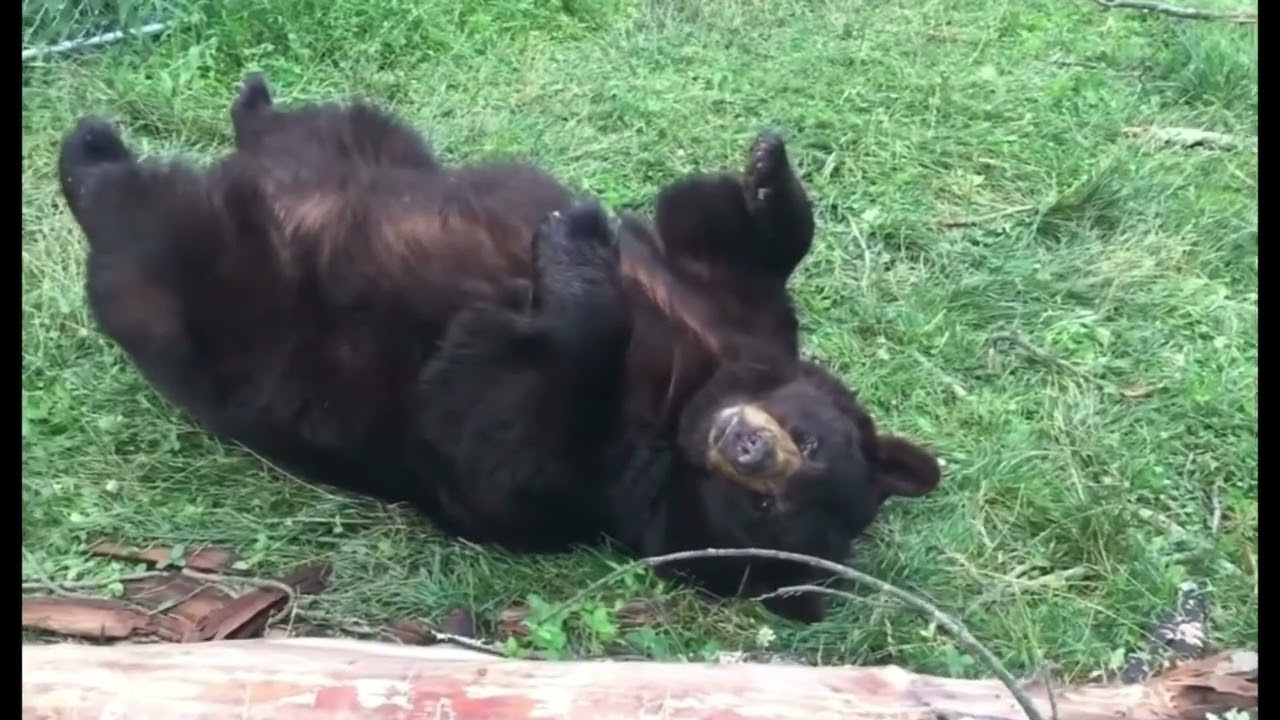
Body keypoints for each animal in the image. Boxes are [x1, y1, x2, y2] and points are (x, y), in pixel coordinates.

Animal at [54, 73, 943, 623]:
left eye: (766, 513)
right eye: (815, 442)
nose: (749, 448)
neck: (683, 406)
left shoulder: (590, 477)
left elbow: (487, 423)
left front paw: (573, 251)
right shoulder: (731, 314)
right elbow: (727, 242)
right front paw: (766, 175)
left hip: (208, 288)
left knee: (140, 226)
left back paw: (91, 155)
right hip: (374, 147)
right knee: (314, 129)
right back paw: (240, 102)